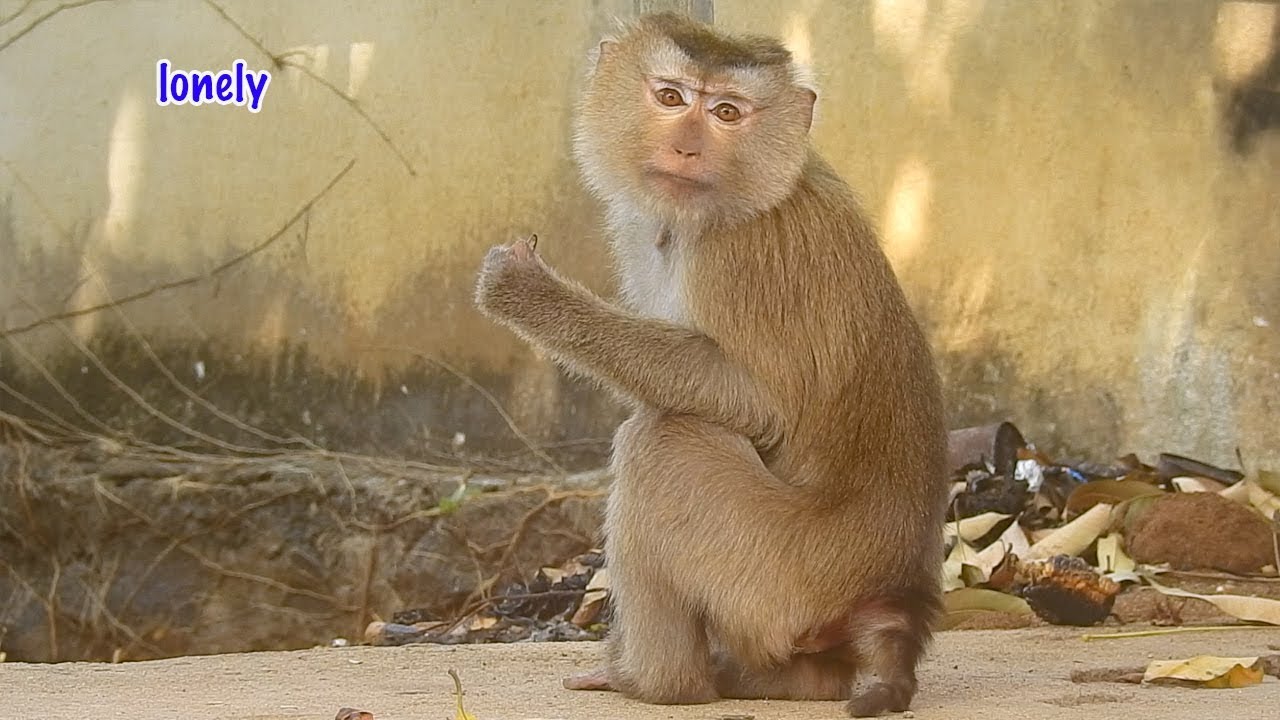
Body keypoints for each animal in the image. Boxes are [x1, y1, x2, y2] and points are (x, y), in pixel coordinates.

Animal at [473, 12, 948, 718]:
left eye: (727, 111)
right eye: (672, 97)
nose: (687, 150)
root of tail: (897, 594)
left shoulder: (741, 256)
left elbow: (757, 403)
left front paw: (529, 296)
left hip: (779, 578)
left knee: (662, 444)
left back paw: (656, 682)